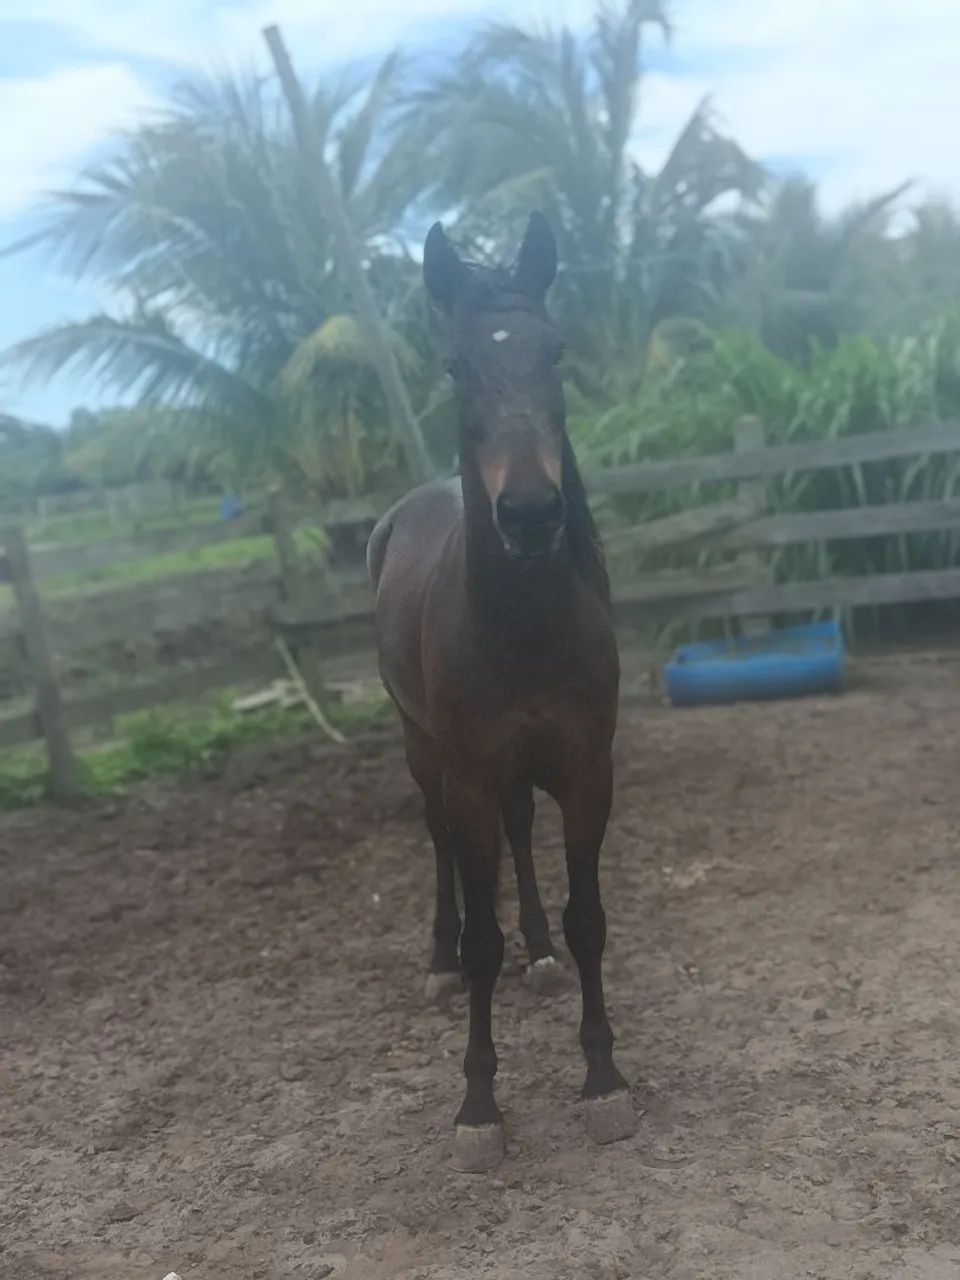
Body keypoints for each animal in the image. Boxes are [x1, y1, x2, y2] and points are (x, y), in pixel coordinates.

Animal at [367, 212, 635, 1171]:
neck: (521, 626)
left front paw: (602, 1080)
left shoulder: (588, 772)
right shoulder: (472, 777)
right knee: (441, 842)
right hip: (424, 753)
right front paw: (478, 1105)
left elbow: (590, 916)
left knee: (522, 836)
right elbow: (482, 940)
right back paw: (440, 962)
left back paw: (541, 951)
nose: (528, 513)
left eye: (554, 353)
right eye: (455, 365)